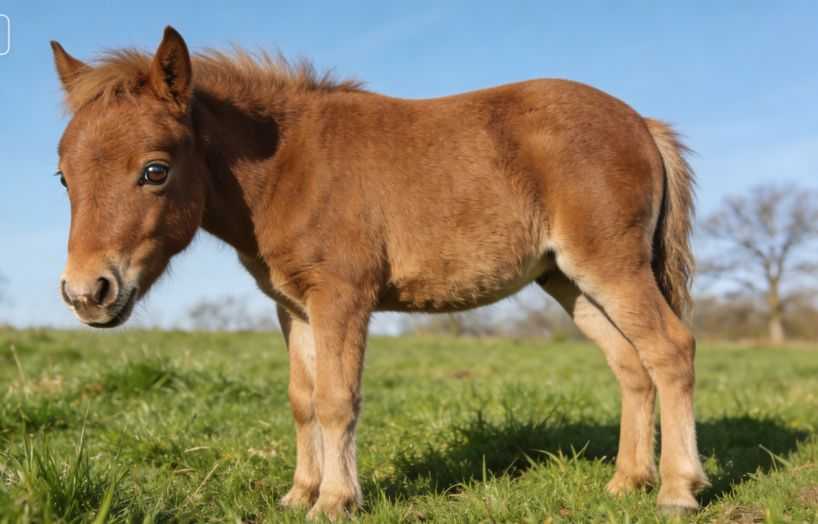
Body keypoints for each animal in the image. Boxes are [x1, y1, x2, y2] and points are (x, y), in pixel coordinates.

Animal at [51, 26, 708, 519]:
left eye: (155, 170)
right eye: (63, 177)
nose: (88, 293)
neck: (289, 166)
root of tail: (641, 123)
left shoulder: (342, 296)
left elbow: (337, 398)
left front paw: (336, 500)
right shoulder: (293, 305)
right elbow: (303, 399)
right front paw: (299, 494)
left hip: (610, 266)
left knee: (670, 349)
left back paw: (678, 490)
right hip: (568, 281)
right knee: (631, 366)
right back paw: (628, 482)